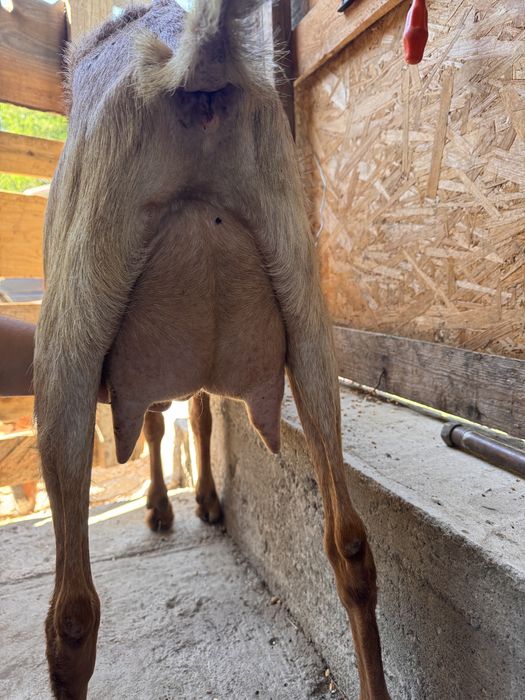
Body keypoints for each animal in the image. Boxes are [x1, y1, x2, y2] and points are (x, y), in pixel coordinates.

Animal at [34, 1, 390, 697]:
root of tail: (193, 62)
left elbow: (157, 421)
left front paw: (164, 509)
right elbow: (193, 412)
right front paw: (201, 501)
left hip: (65, 346)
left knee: (72, 615)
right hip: (308, 315)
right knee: (350, 545)